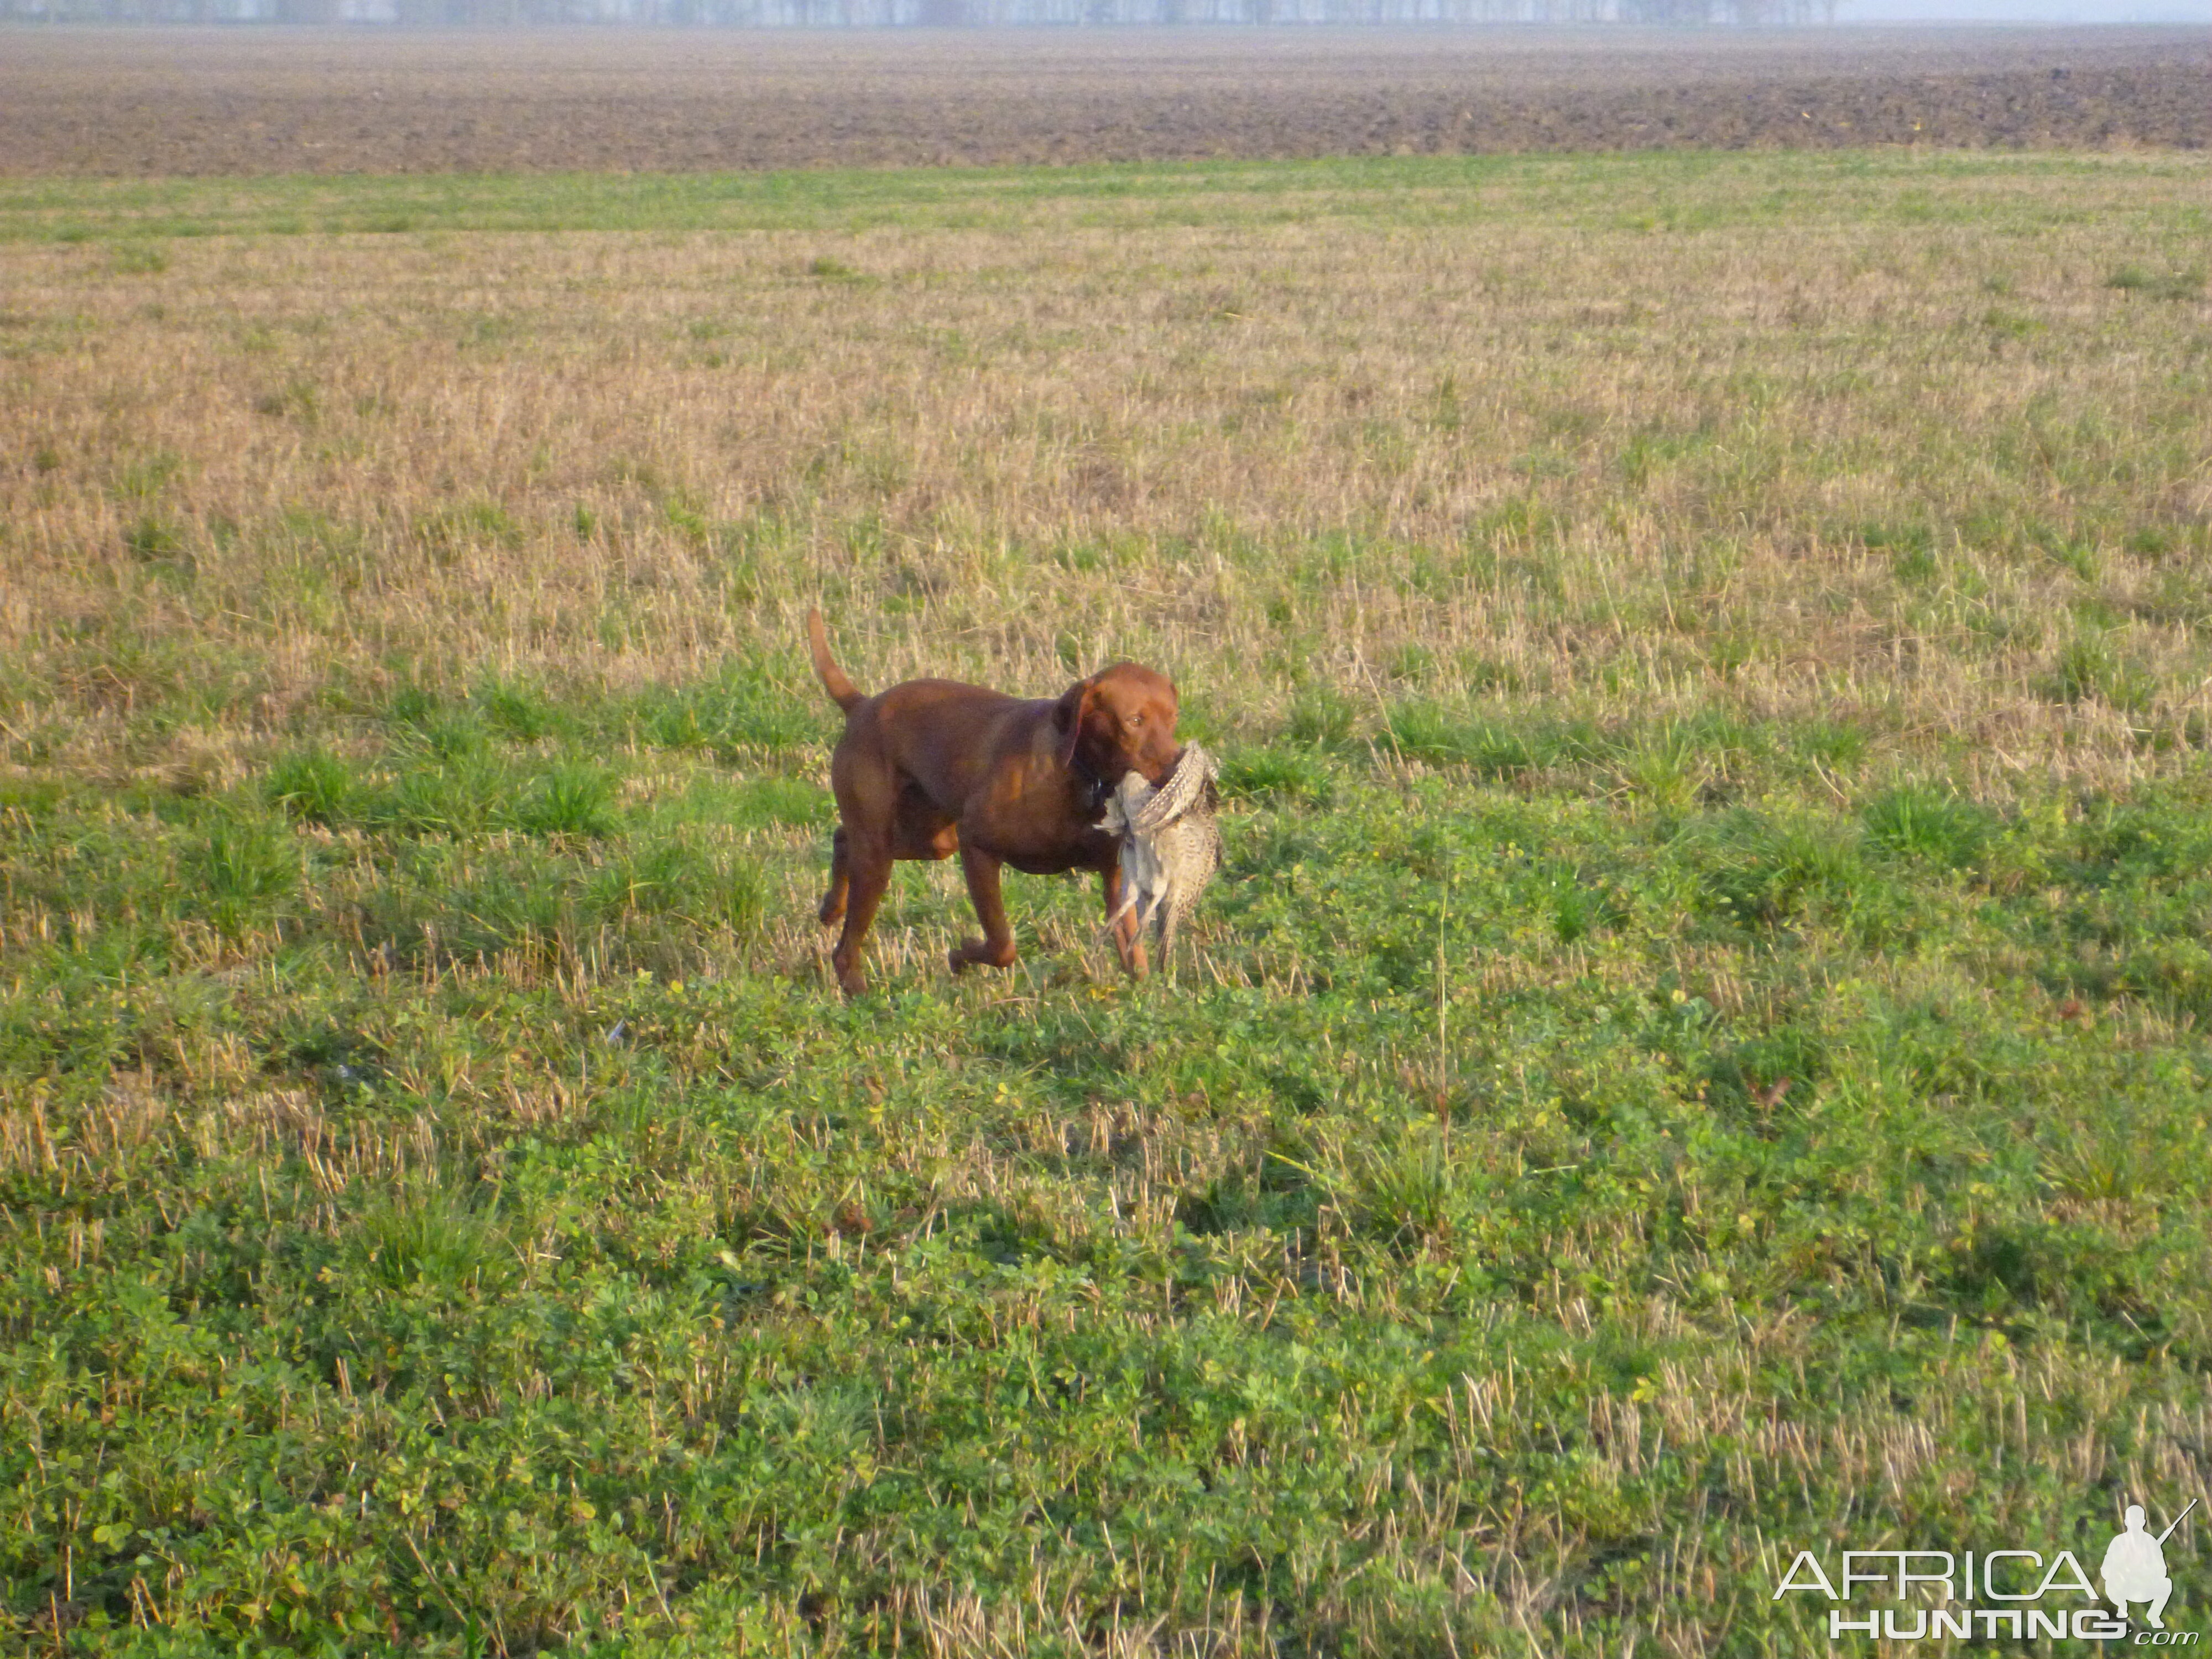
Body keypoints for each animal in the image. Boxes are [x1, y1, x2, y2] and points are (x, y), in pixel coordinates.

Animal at [810, 615, 1186, 995]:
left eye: (1173, 719)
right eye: (1134, 721)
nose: (1176, 768)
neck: (1082, 778)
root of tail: (863, 705)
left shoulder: (1113, 876)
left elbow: (1133, 951)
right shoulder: (976, 846)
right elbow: (1003, 945)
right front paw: (960, 956)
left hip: (931, 840)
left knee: (843, 837)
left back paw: (831, 908)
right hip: (884, 854)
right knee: (845, 947)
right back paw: (855, 985)